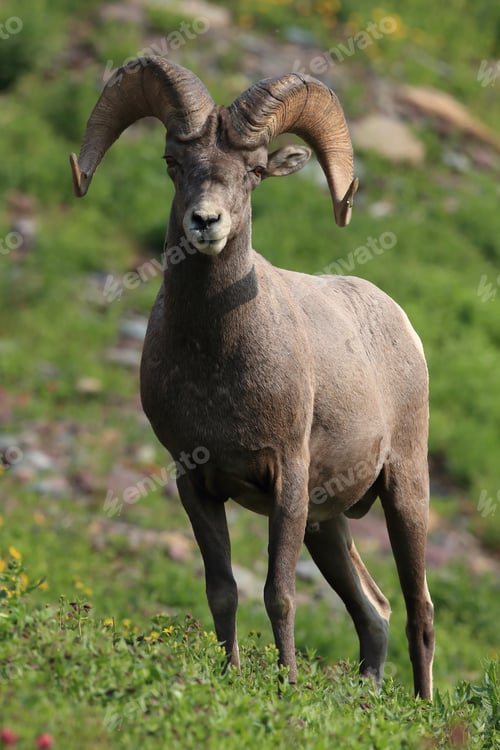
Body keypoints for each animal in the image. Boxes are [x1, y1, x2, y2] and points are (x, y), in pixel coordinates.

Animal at [70, 57, 435, 699]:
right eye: (173, 162)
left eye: (256, 172)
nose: (205, 221)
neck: (217, 369)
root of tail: (400, 325)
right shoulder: (195, 483)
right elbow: (223, 590)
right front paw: (231, 674)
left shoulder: (287, 479)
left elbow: (279, 594)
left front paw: (286, 684)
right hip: (328, 527)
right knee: (375, 609)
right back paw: (367, 694)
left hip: (404, 490)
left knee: (419, 609)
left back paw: (421, 705)